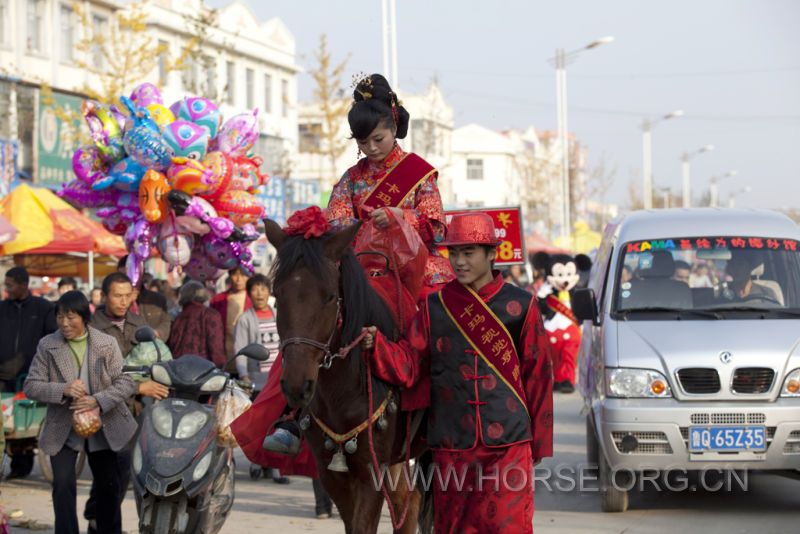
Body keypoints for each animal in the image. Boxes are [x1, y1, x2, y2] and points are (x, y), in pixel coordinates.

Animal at [264, 221, 432, 534]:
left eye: (330, 296)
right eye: (277, 297)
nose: (297, 386)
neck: (343, 391)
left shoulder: (371, 472)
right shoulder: (332, 473)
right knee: (407, 504)